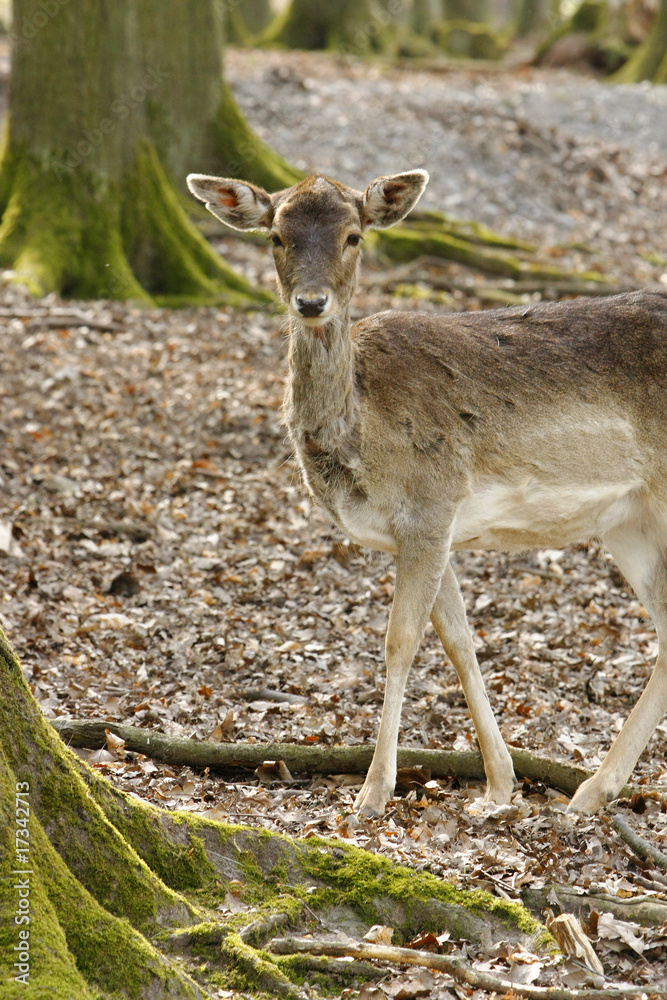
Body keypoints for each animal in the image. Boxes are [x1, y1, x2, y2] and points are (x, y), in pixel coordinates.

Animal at [187, 168, 667, 818]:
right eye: (277, 236)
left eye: (354, 236)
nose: (311, 302)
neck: (363, 437)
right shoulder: (425, 528)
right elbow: (459, 640)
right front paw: (497, 787)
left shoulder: (432, 503)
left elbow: (400, 640)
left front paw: (372, 792)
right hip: (628, 521)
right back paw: (594, 791)